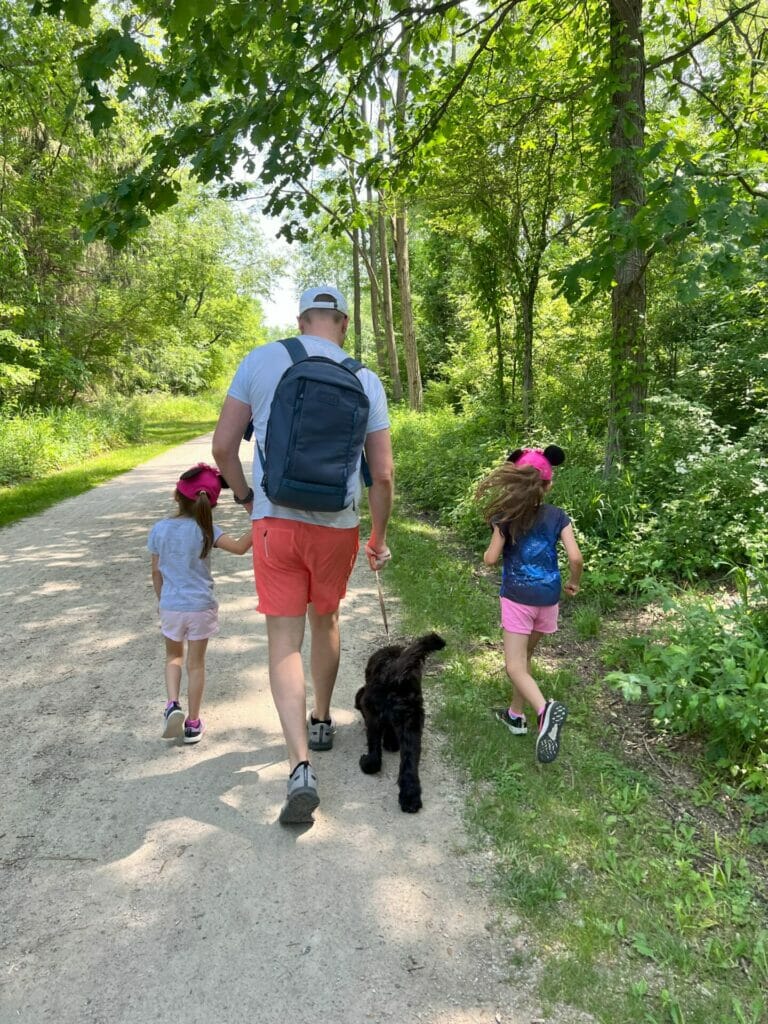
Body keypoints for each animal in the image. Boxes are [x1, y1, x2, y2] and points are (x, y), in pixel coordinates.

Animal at [354, 626, 444, 811]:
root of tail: (395, 674)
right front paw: (392, 743)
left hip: (374, 717)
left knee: (375, 753)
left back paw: (367, 763)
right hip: (413, 725)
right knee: (409, 765)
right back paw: (410, 799)